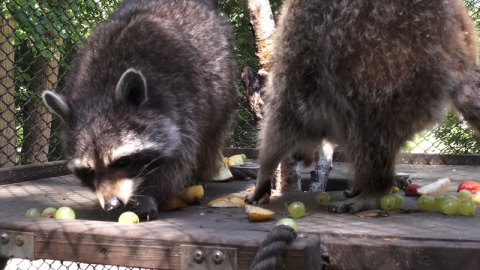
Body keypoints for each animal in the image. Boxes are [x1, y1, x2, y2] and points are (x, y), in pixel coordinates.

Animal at [42, 0, 237, 220]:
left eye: (121, 162)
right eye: (88, 171)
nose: (111, 204)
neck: (101, 90)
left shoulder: (182, 104)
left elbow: (176, 160)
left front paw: (149, 194)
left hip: (221, 84)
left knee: (210, 137)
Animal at [246, 0, 480, 213]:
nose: (297, 157)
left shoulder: (294, 64)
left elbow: (279, 128)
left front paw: (263, 176)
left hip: (397, 66)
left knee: (369, 127)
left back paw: (375, 189)